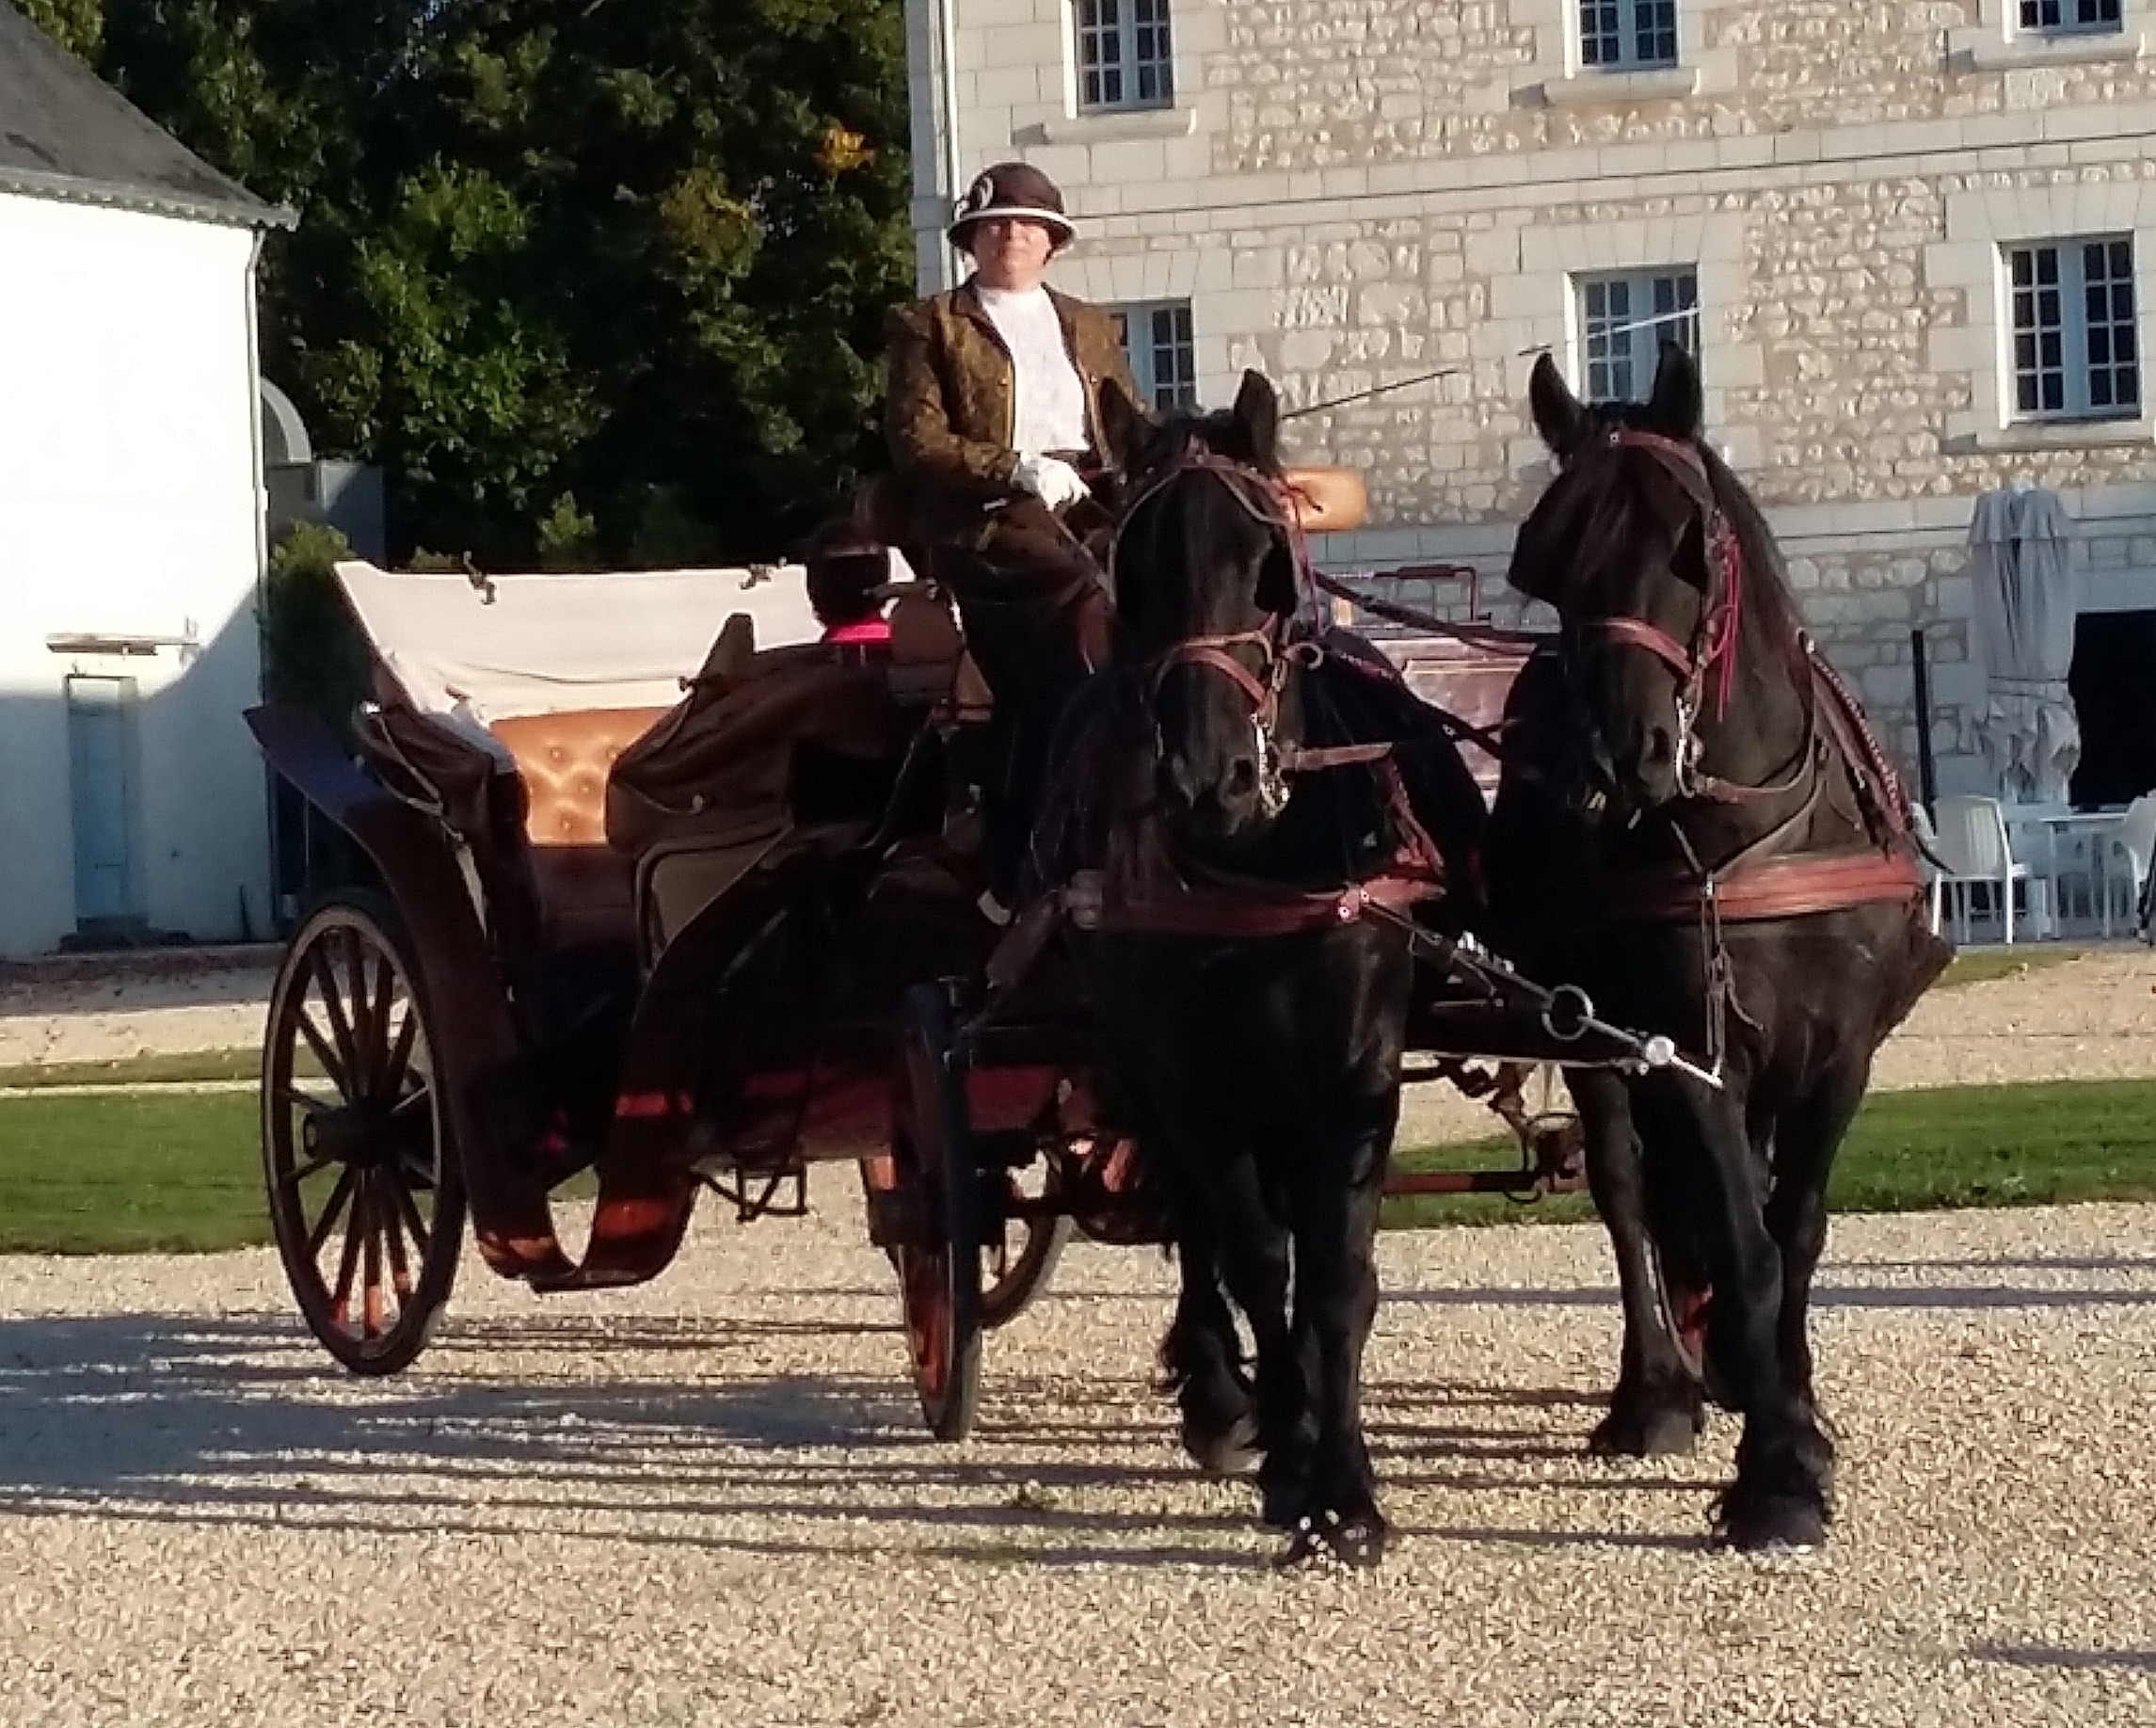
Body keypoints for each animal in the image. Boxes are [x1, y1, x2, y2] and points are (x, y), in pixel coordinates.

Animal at [1056, 371, 1492, 1553]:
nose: (1212, 779)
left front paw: (1344, 1480)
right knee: (1198, 1222)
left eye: (1265, 564)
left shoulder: (1350, 1082)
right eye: (1133, 572)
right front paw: (1292, 1457)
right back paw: (1219, 1394)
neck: (1252, 864)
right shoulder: (1190, 1082)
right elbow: (1253, 1255)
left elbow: (1333, 1277)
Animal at [1500, 341, 1957, 1553]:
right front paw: (1776, 1469)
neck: (1741, 837)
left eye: (1687, 545)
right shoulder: (1680, 1052)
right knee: (1625, 1189)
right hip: (1587, 1035)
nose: (1617, 759)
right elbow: (1740, 1243)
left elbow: (1789, 1231)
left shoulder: (1835, 1057)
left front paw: (1793, 1413)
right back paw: (1655, 1389)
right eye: (1552, 565)